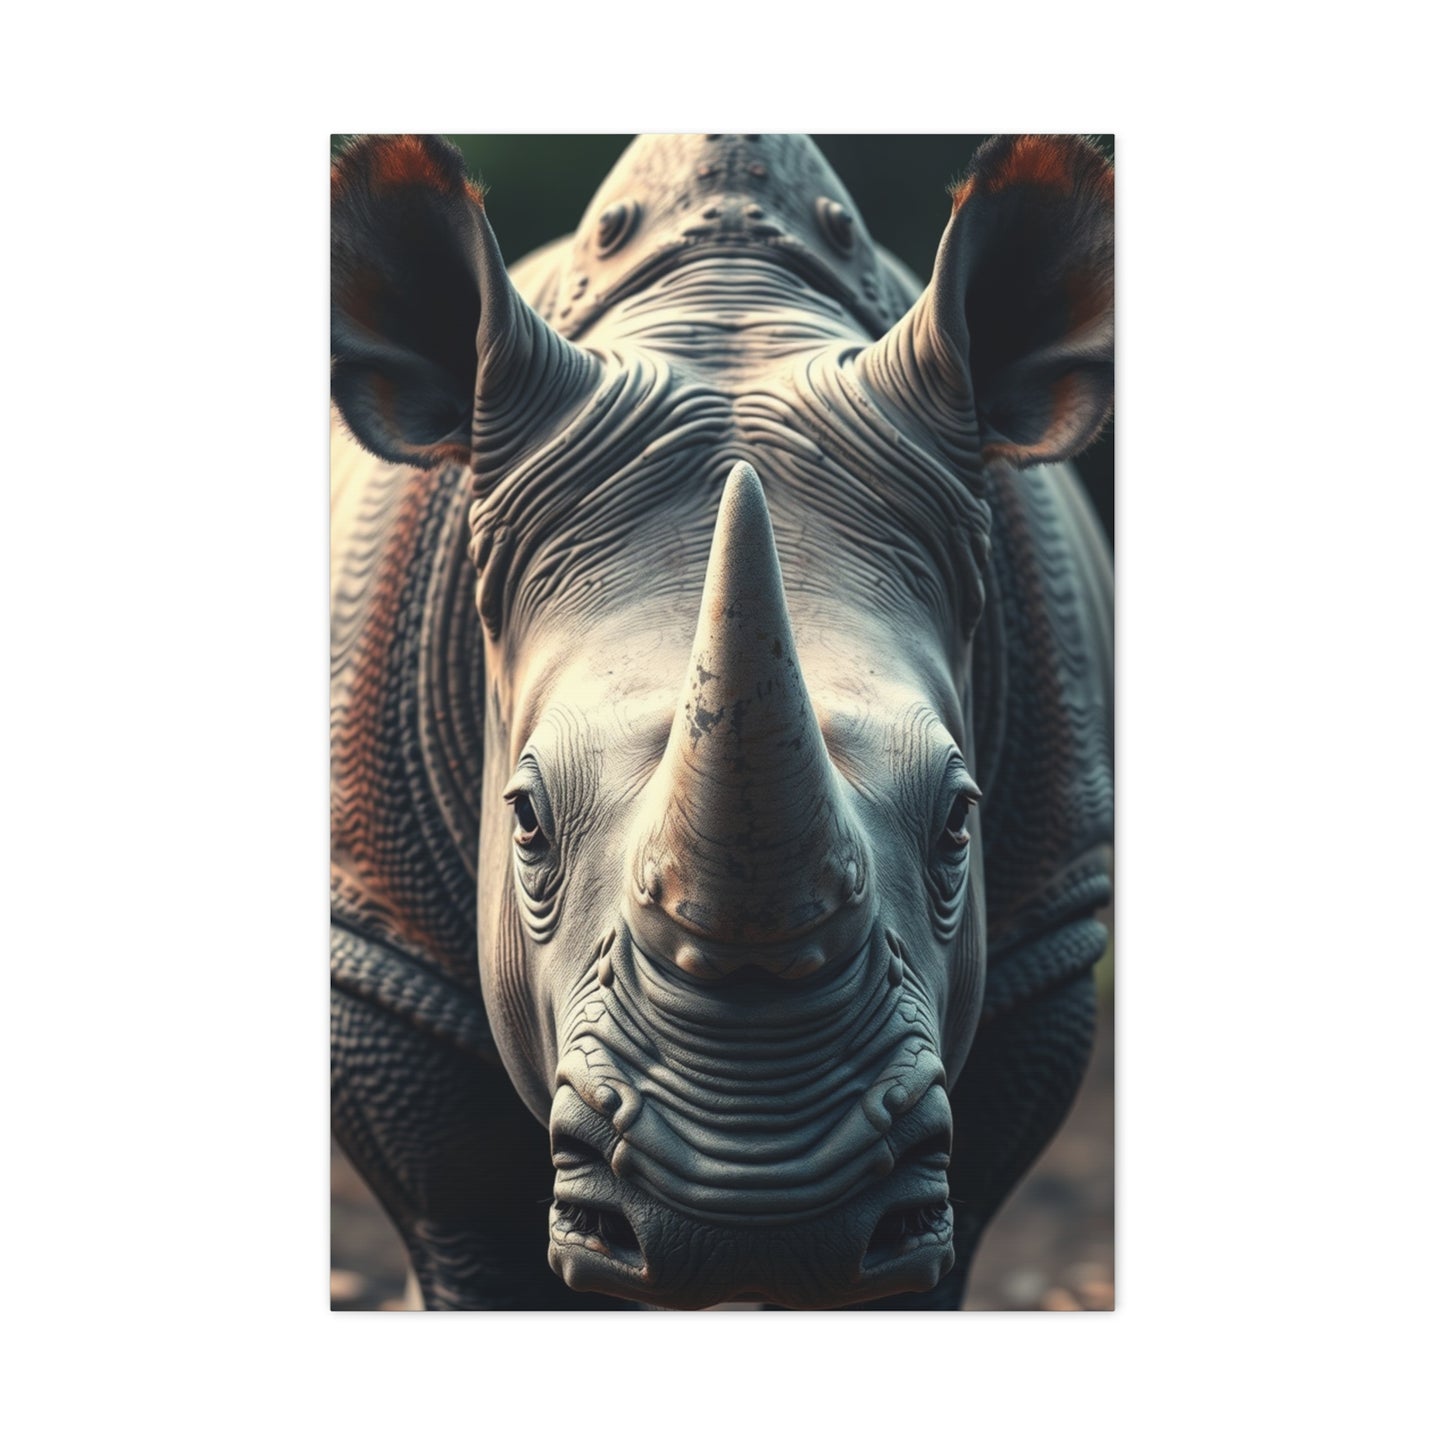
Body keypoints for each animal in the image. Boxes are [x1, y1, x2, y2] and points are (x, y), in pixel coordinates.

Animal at [330, 132, 1114, 1310]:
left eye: (958, 823)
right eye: (523, 821)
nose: (755, 1221)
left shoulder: (1041, 944)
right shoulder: (387, 965)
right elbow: (466, 1211)